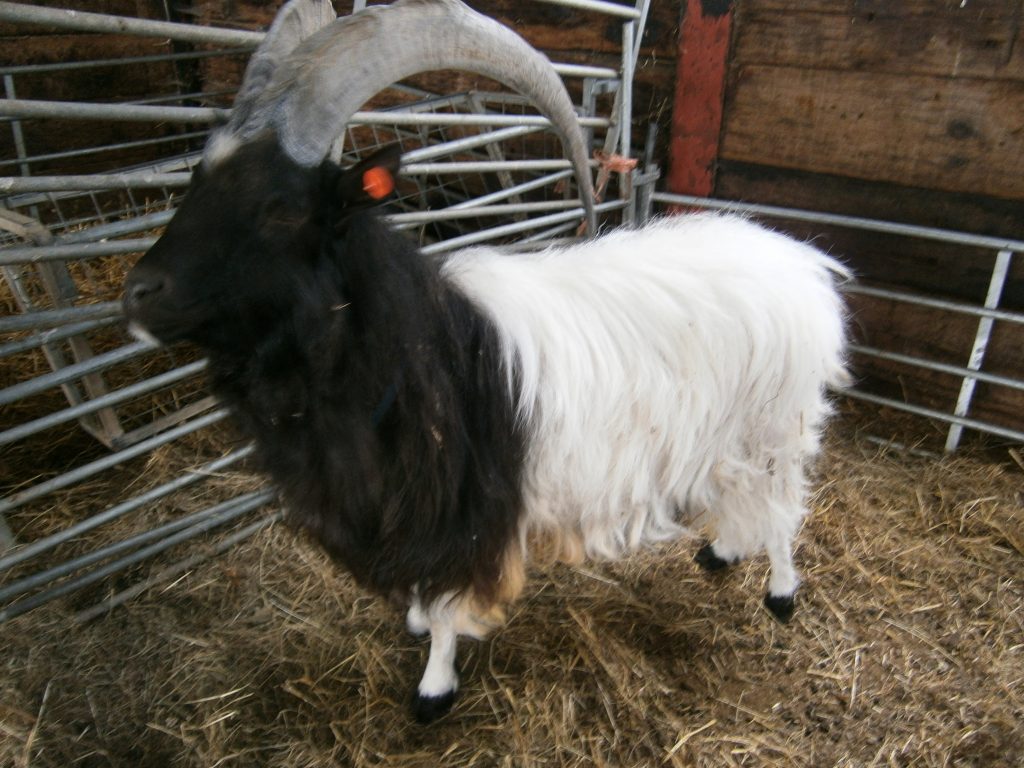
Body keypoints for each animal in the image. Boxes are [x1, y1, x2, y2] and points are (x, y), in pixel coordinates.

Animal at [122, 0, 848, 723]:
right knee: (740, 492)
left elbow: (447, 605)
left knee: (782, 507)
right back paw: (722, 551)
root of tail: (800, 265)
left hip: (776, 426)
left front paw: (433, 688)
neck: (409, 345)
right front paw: (416, 627)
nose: (137, 294)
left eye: (280, 208)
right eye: (196, 181)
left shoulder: (459, 509)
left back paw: (781, 593)